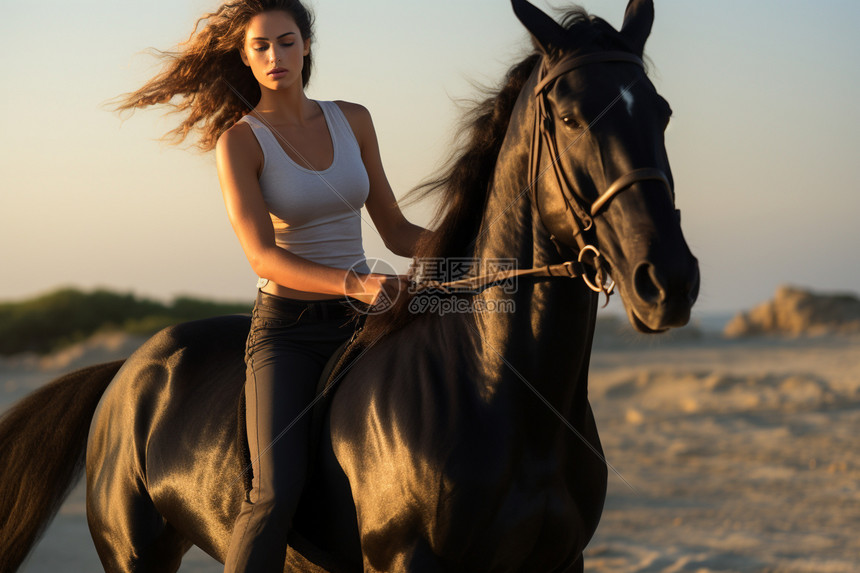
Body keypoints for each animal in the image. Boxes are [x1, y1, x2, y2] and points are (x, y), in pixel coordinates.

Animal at [1, 2, 700, 568]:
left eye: (663, 112)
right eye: (573, 118)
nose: (667, 280)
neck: (506, 397)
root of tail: (128, 368)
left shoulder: (561, 561)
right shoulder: (403, 560)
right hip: (134, 554)